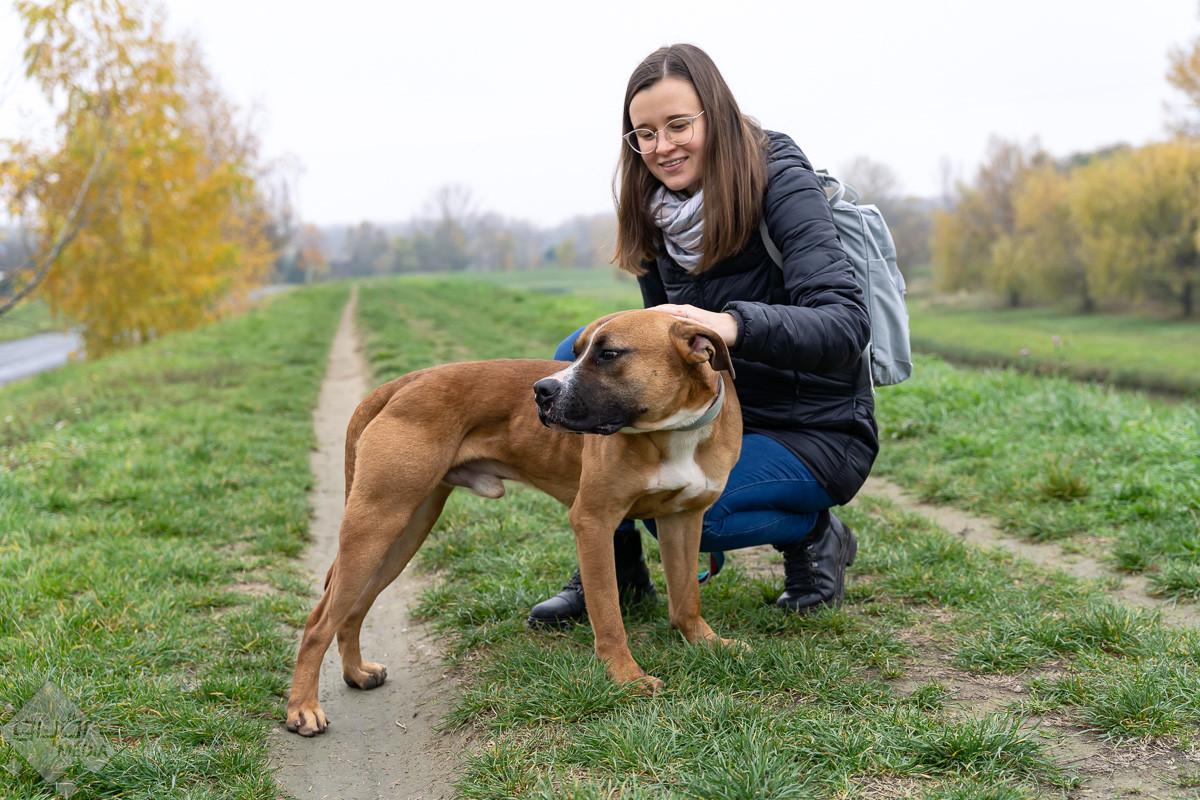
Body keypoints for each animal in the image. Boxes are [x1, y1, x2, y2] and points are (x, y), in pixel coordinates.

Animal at [285, 309, 743, 736]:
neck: (672, 433)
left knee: (352, 608)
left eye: (609, 354)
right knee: (319, 622)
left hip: (402, 532)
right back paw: (303, 707)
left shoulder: (683, 521)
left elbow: (685, 598)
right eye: (577, 351)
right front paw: (627, 679)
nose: (541, 391)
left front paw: (707, 644)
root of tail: (404, 382)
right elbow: (609, 614)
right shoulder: (594, 523)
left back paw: (356, 672)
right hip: (376, 524)